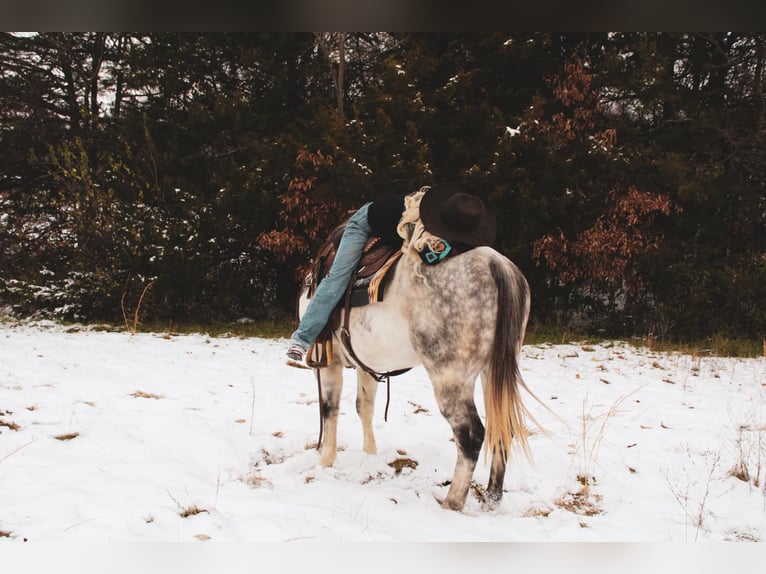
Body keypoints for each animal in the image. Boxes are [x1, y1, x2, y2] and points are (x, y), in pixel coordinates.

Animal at [296, 239, 534, 512]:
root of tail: (494, 262)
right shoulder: (367, 364)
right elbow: (364, 407)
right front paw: (369, 454)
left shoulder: (328, 362)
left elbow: (329, 409)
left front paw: (325, 460)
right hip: (493, 373)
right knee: (503, 426)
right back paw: (492, 498)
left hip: (450, 378)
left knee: (471, 435)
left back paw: (452, 501)